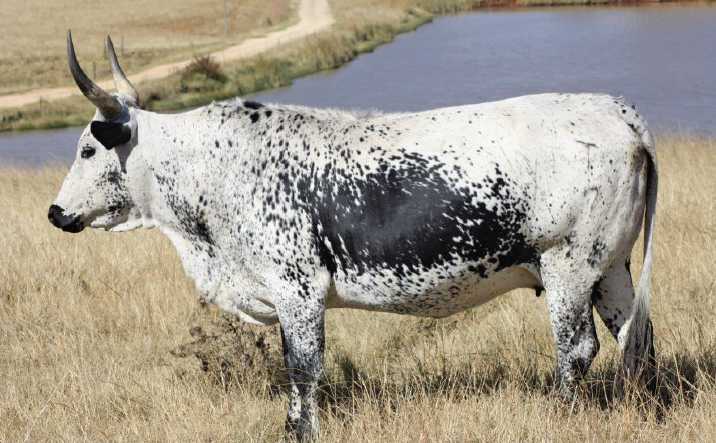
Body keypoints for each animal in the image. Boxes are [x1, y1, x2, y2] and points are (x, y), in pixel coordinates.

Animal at [49, 32, 657, 440]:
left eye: (88, 148)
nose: (56, 212)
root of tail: (618, 112)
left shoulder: (297, 290)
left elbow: (303, 368)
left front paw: (303, 432)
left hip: (568, 266)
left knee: (577, 348)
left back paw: (560, 414)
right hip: (611, 268)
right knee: (636, 337)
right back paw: (644, 407)